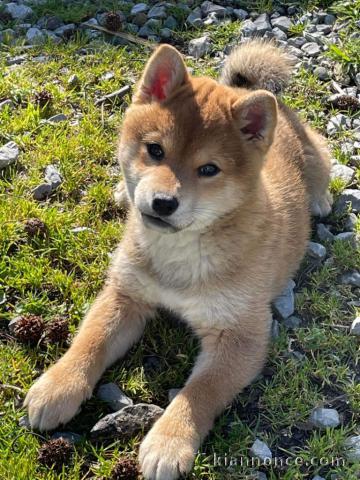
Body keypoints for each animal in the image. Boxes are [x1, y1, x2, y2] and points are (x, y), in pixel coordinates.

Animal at [23, 41, 330, 480]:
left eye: (209, 169)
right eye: (155, 150)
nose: (163, 203)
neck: (180, 255)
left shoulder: (240, 335)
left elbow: (198, 392)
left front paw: (169, 442)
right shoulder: (125, 294)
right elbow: (90, 340)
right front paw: (57, 386)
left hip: (315, 156)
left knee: (322, 168)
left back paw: (320, 199)